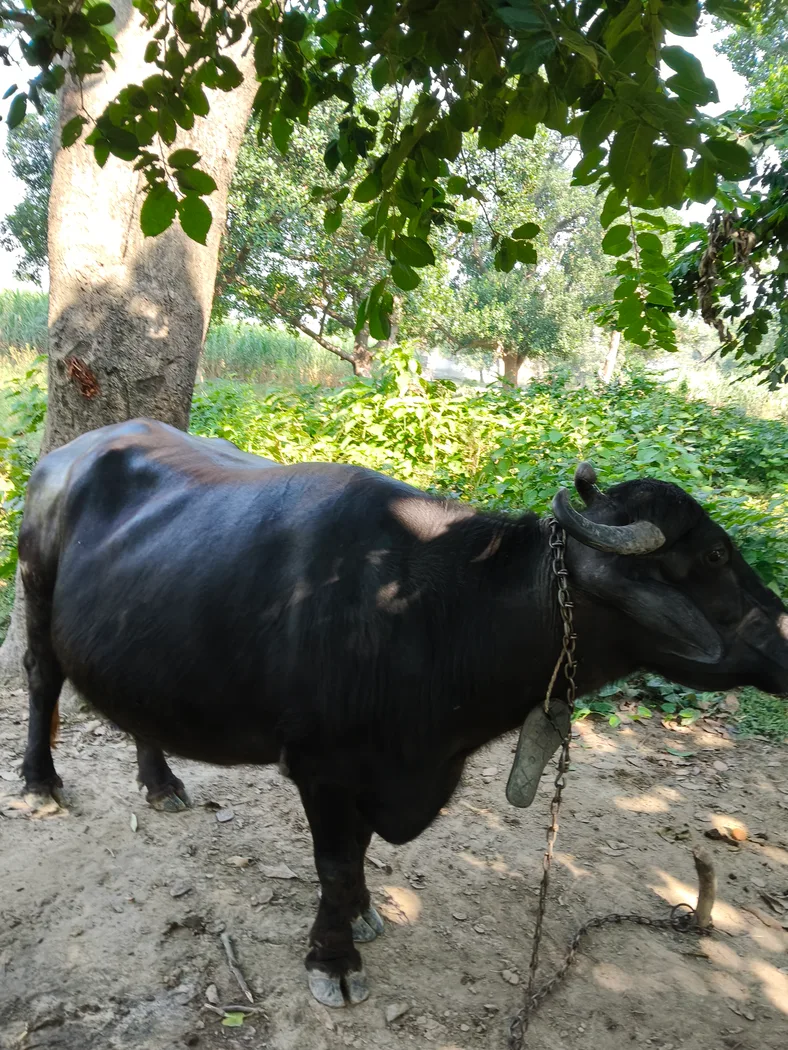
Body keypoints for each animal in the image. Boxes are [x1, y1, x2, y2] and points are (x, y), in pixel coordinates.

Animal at [18, 419, 788, 1006]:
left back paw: (161, 783)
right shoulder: (325, 768)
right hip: (33, 589)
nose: (784, 635)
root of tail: (67, 455)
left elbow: (357, 856)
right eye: (714, 553)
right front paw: (333, 960)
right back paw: (40, 782)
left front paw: (362, 914)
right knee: (41, 680)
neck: (428, 608)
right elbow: (334, 862)